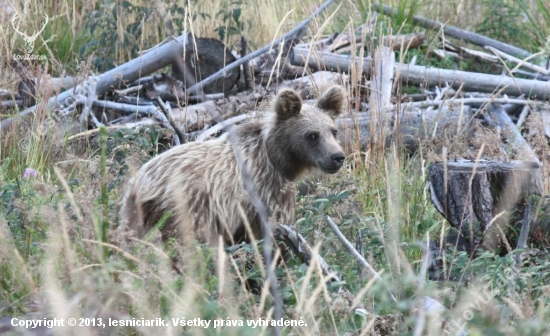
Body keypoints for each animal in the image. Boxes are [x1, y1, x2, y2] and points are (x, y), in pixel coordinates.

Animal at [121, 85, 348, 245]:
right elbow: (276, 227)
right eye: (312, 135)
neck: (278, 159)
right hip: (184, 207)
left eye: (333, 131)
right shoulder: (268, 190)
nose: (337, 156)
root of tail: (139, 184)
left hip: (137, 215)